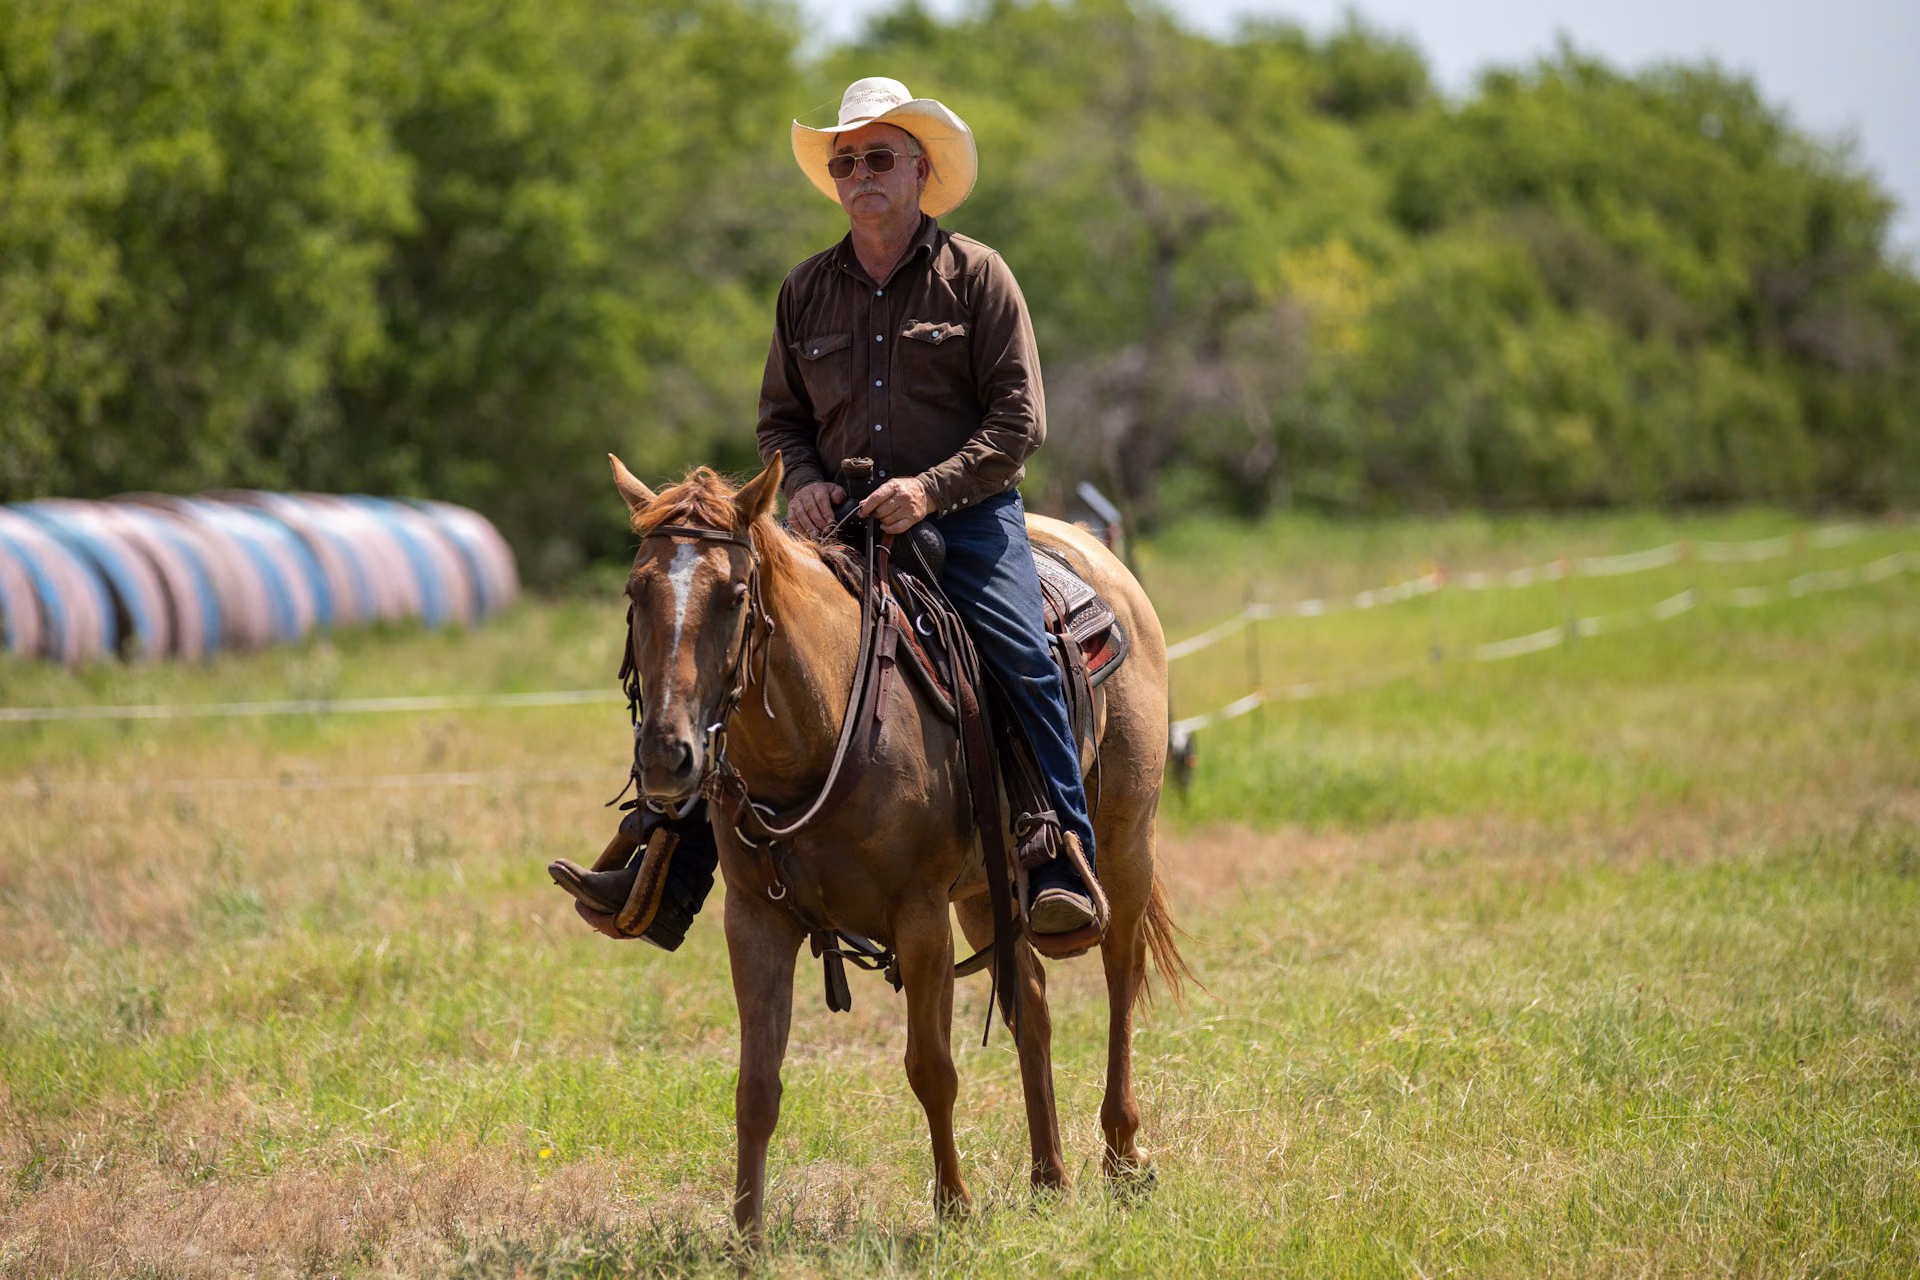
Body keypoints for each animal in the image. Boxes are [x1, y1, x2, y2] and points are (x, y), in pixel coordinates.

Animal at [606, 451, 1189, 1242]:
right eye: (636, 591)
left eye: (733, 595)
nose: (669, 756)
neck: (822, 726)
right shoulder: (755, 920)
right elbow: (756, 1085)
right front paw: (747, 1237)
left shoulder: (919, 918)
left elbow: (930, 1067)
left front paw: (954, 1208)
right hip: (991, 889)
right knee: (1032, 1003)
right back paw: (1049, 1176)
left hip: (1126, 844)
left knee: (1120, 975)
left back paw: (1124, 1155)